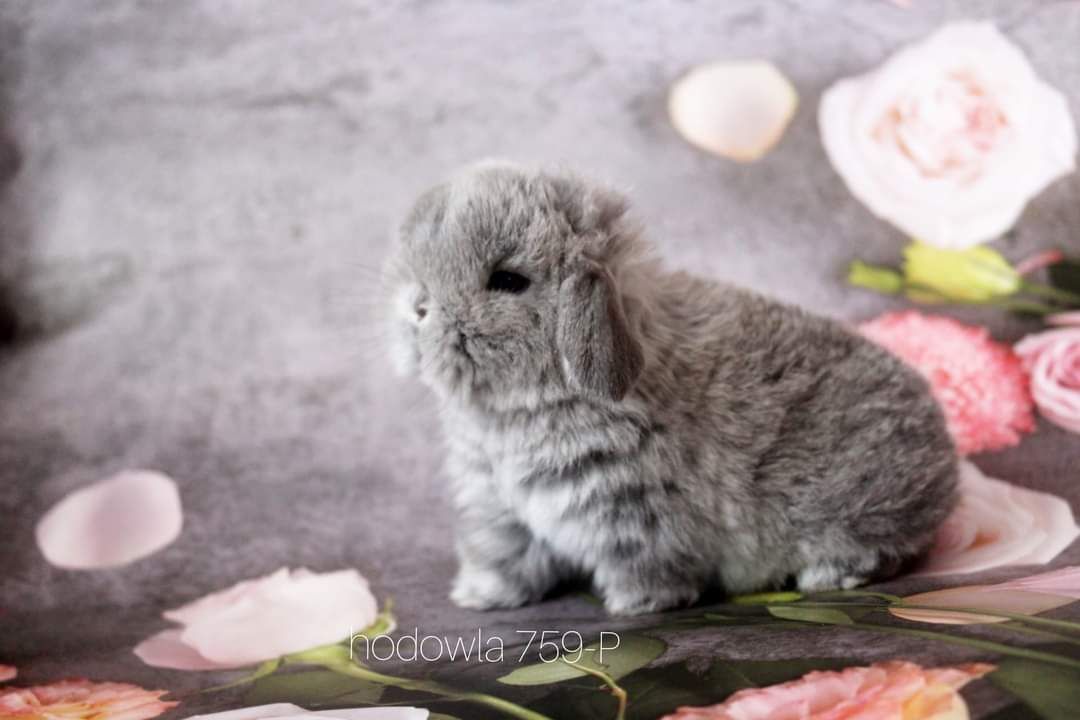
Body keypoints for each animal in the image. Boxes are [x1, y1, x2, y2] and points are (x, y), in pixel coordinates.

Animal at [384, 165, 959, 621]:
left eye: (507, 281)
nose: (417, 309)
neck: (514, 411)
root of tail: (945, 463)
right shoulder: (502, 515)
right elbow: (504, 560)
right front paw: (478, 597)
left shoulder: (636, 518)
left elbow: (650, 567)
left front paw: (637, 605)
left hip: (861, 511)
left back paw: (827, 575)